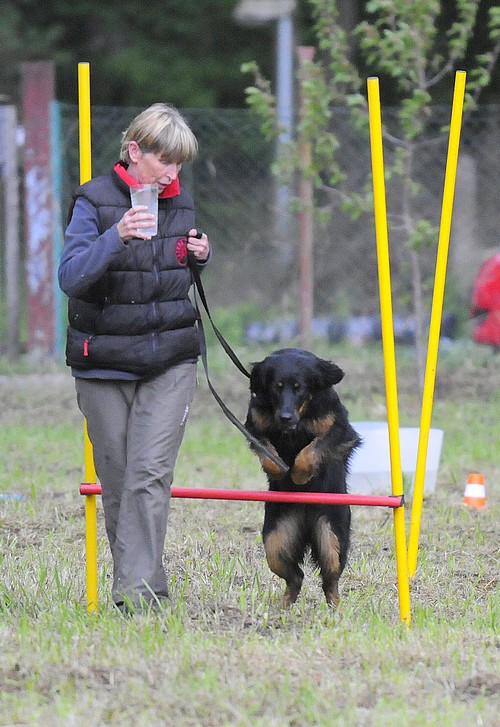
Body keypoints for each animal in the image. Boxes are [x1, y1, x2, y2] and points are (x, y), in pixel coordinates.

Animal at [245, 350, 360, 604]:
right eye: (277, 387)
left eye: (300, 388)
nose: (286, 417)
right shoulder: (254, 425)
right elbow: (267, 450)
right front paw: (278, 470)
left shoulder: (340, 429)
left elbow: (312, 449)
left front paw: (298, 474)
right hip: (276, 539)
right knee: (296, 576)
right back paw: (283, 606)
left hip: (331, 536)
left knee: (330, 580)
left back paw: (336, 608)